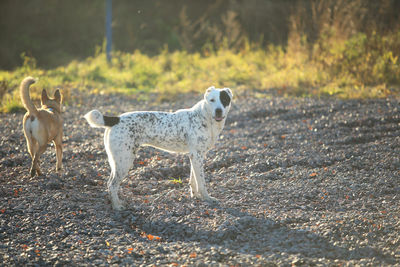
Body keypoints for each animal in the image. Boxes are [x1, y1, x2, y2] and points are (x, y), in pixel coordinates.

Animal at [85, 87, 234, 210]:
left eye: (224, 100)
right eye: (212, 100)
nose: (219, 110)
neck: (205, 117)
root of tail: (116, 119)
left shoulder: (195, 156)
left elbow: (193, 179)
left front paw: (196, 196)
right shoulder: (197, 156)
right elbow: (201, 182)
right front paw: (207, 198)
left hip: (116, 162)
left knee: (110, 183)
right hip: (124, 161)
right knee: (112, 185)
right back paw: (117, 206)